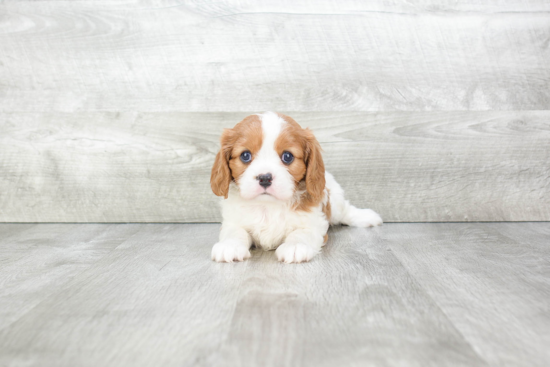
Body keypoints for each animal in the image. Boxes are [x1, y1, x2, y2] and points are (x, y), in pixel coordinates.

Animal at [211, 112, 384, 264]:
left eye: (287, 157)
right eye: (245, 155)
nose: (265, 178)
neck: (268, 206)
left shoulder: (315, 223)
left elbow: (302, 233)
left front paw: (295, 246)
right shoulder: (233, 221)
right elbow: (235, 231)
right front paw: (230, 246)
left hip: (334, 201)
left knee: (345, 211)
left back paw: (366, 217)